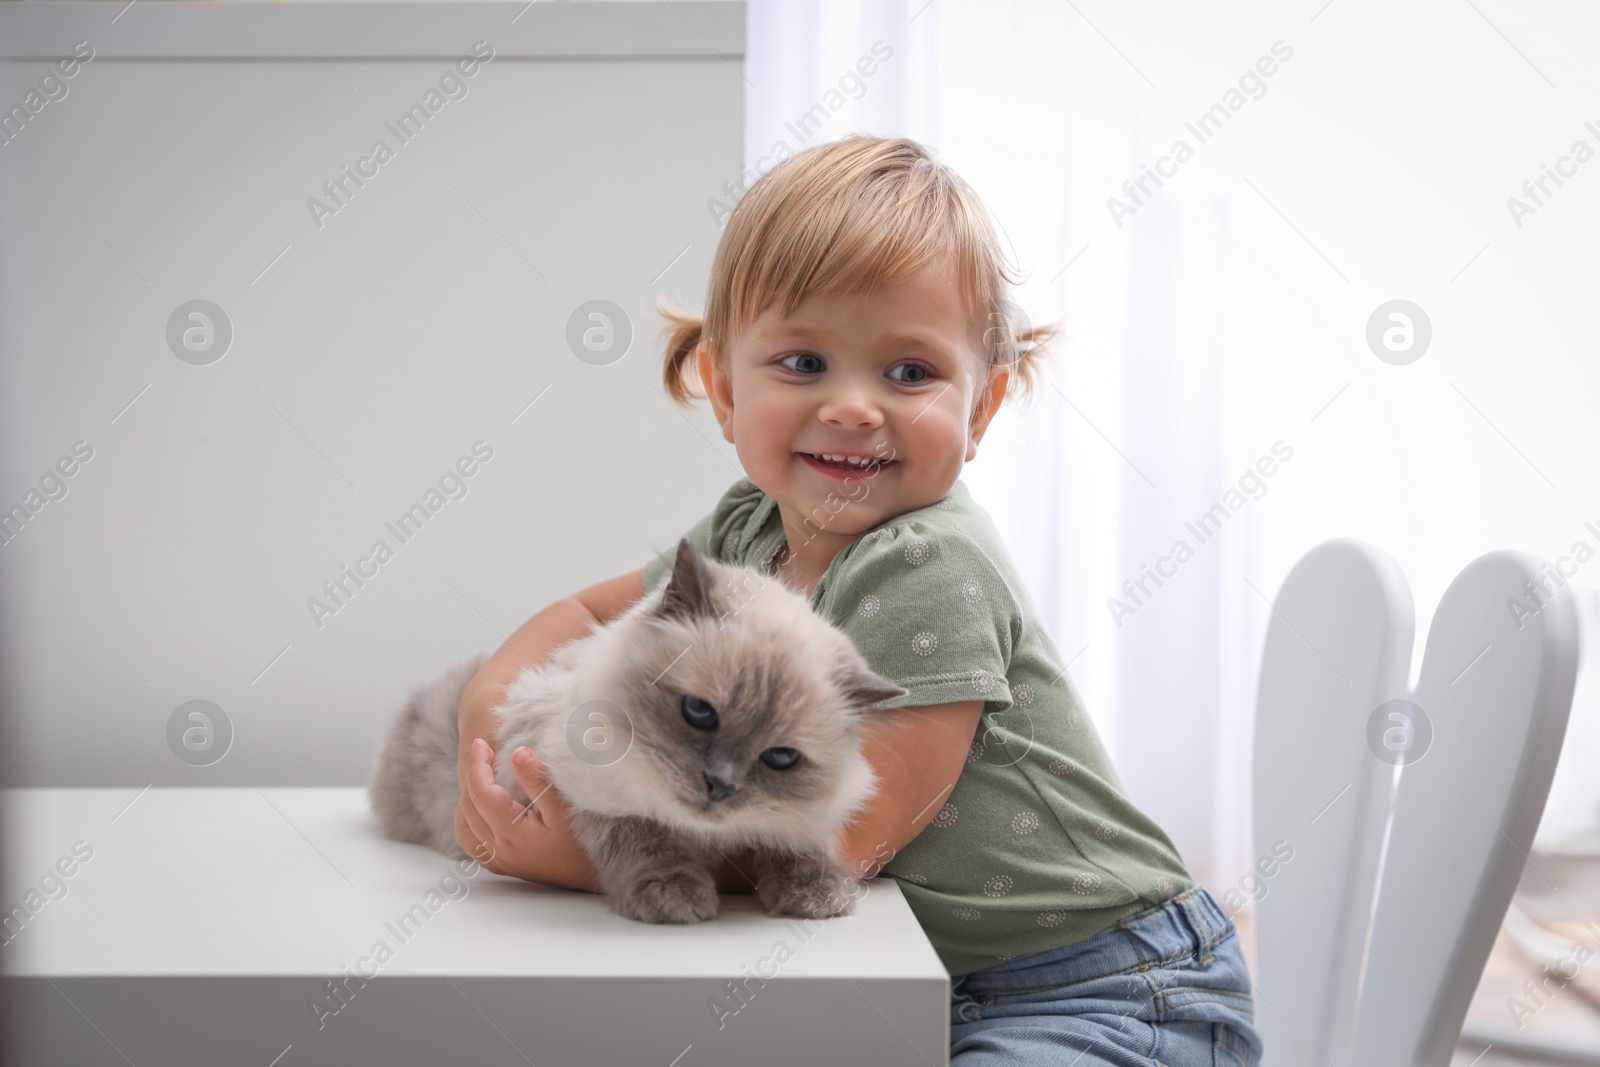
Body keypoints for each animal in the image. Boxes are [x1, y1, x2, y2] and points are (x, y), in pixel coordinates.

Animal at [366, 543, 908, 927]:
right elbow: (647, 840)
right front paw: (675, 896)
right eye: (699, 712)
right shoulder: (586, 794)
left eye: (780, 758)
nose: (720, 786)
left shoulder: (800, 818)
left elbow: (803, 844)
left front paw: (817, 896)